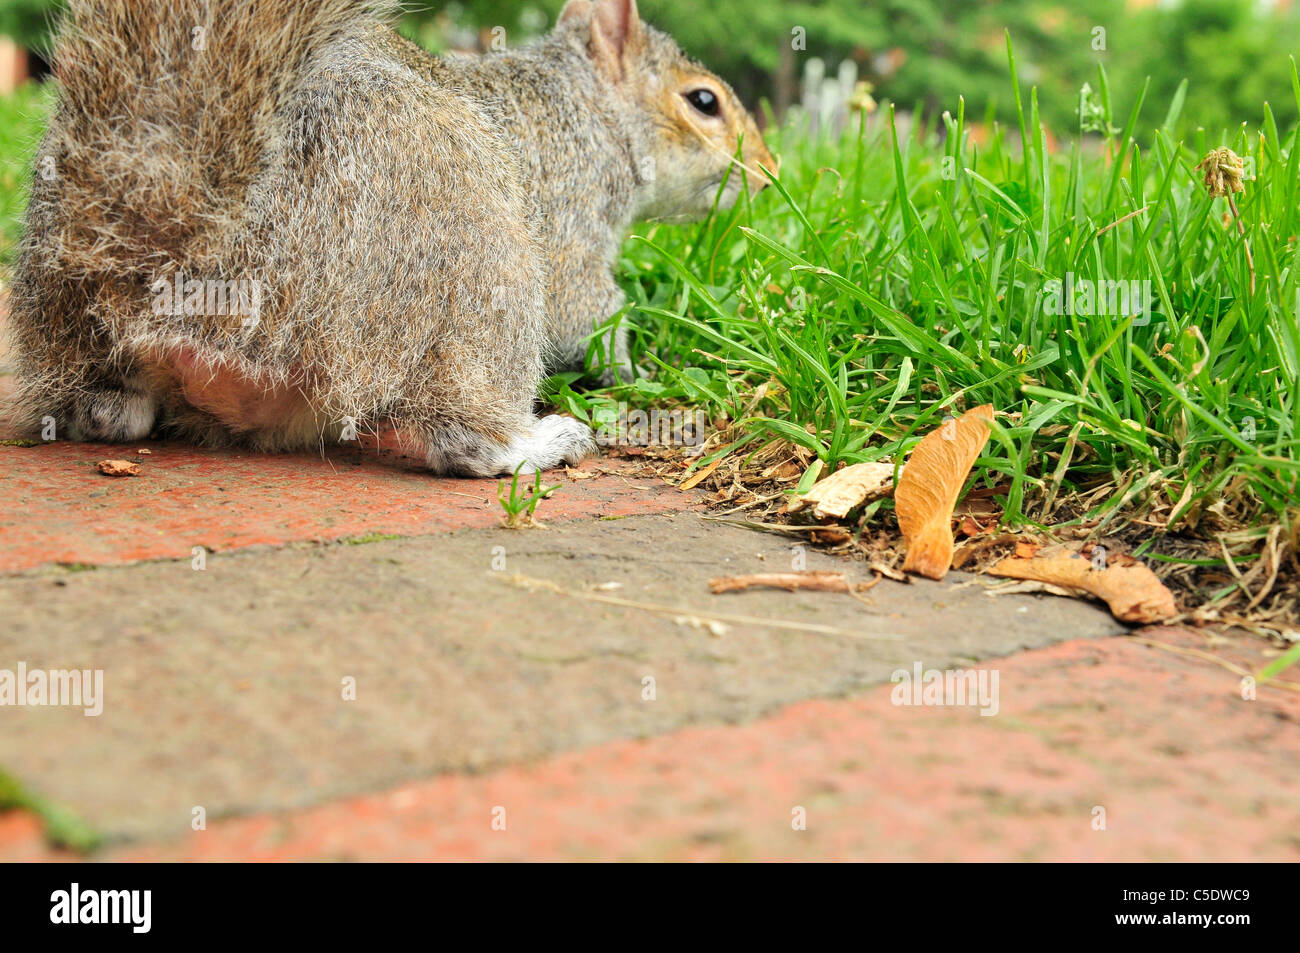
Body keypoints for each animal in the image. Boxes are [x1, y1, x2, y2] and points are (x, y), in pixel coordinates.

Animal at [3, 0, 776, 476]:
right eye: (703, 101)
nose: (769, 176)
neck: (585, 111)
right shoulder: (570, 224)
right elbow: (593, 309)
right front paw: (637, 369)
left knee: (110, 411)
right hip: (469, 233)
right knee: (461, 437)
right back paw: (539, 441)